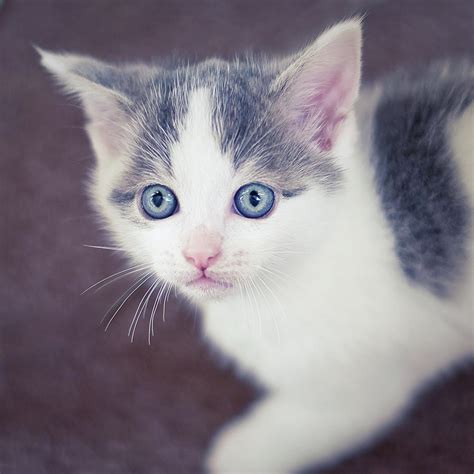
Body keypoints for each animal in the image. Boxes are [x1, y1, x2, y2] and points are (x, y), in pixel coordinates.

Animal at [40, 19, 474, 474]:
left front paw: (242, 449)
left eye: (254, 199)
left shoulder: (377, 371)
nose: (201, 253)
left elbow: (328, 417)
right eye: (158, 200)